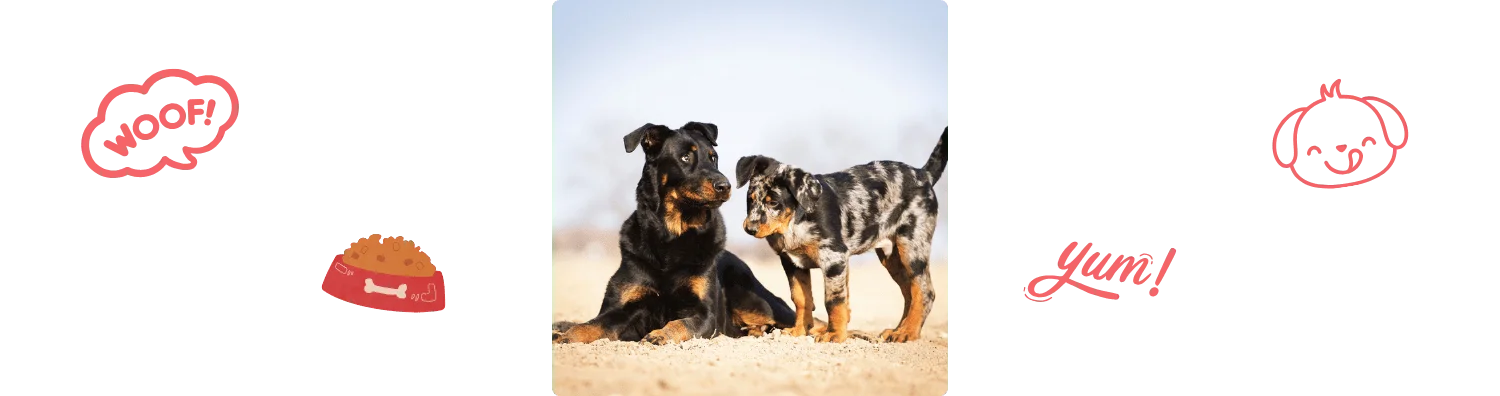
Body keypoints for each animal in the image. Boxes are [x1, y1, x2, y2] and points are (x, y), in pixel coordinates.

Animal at [558, 122, 804, 345]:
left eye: (713, 158)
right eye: (685, 157)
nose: (725, 186)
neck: (673, 234)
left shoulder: (705, 314)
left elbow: (681, 323)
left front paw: (660, 334)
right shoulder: (621, 306)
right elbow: (593, 324)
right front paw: (567, 335)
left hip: (752, 298)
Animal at [735, 127, 948, 343]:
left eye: (773, 202)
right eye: (750, 199)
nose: (750, 228)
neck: (795, 222)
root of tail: (924, 174)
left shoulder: (834, 258)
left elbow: (834, 300)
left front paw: (835, 334)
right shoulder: (792, 262)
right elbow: (801, 299)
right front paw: (799, 331)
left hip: (912, 247)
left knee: (924, 292)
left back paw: (908, 332)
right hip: (892, 257)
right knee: (909, 293)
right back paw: (898, 330)